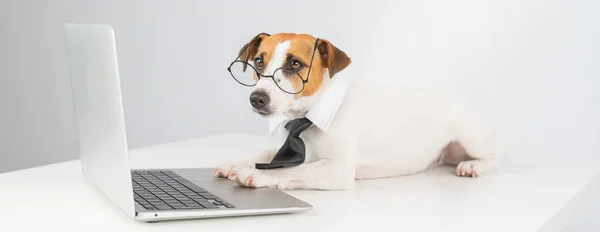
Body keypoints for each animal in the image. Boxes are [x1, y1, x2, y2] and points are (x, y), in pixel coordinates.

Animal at [213, 31, 500, 189]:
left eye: (295, 64)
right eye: (258, 62)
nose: (256, 98)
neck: (305, 118)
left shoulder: (337, 170)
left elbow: (292, 169)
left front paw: (254, 173)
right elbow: (266, 154)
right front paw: (233, 163)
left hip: (470, 136)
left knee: (495, 157)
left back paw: (473, 165)